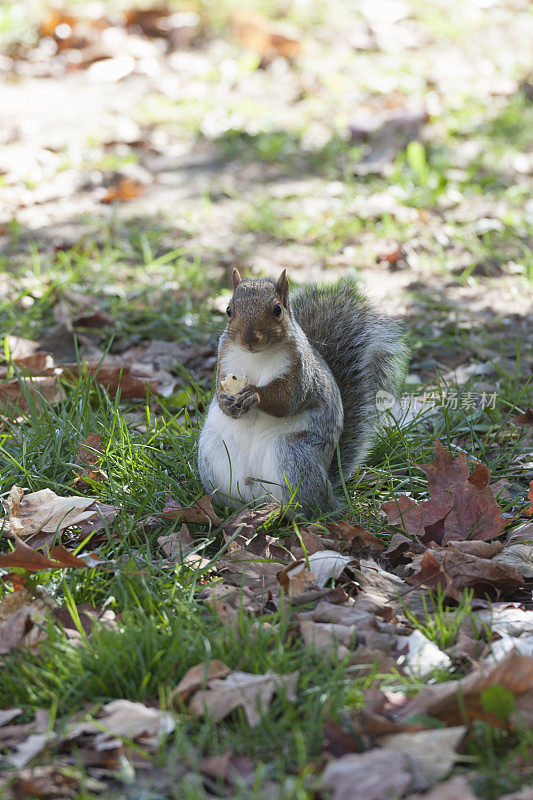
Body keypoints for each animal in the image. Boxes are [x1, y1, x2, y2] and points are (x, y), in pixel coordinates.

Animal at [197, 268, 406, 516]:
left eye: (277, 309)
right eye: (229, 310)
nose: (248, 340)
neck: (256, 356)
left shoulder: (300, 371)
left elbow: (287, 400)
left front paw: (255, 395)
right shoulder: (225, 360)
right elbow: (220, 388)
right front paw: (226, 401)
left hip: (293, 454)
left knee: (308, 506)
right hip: (213, 452)